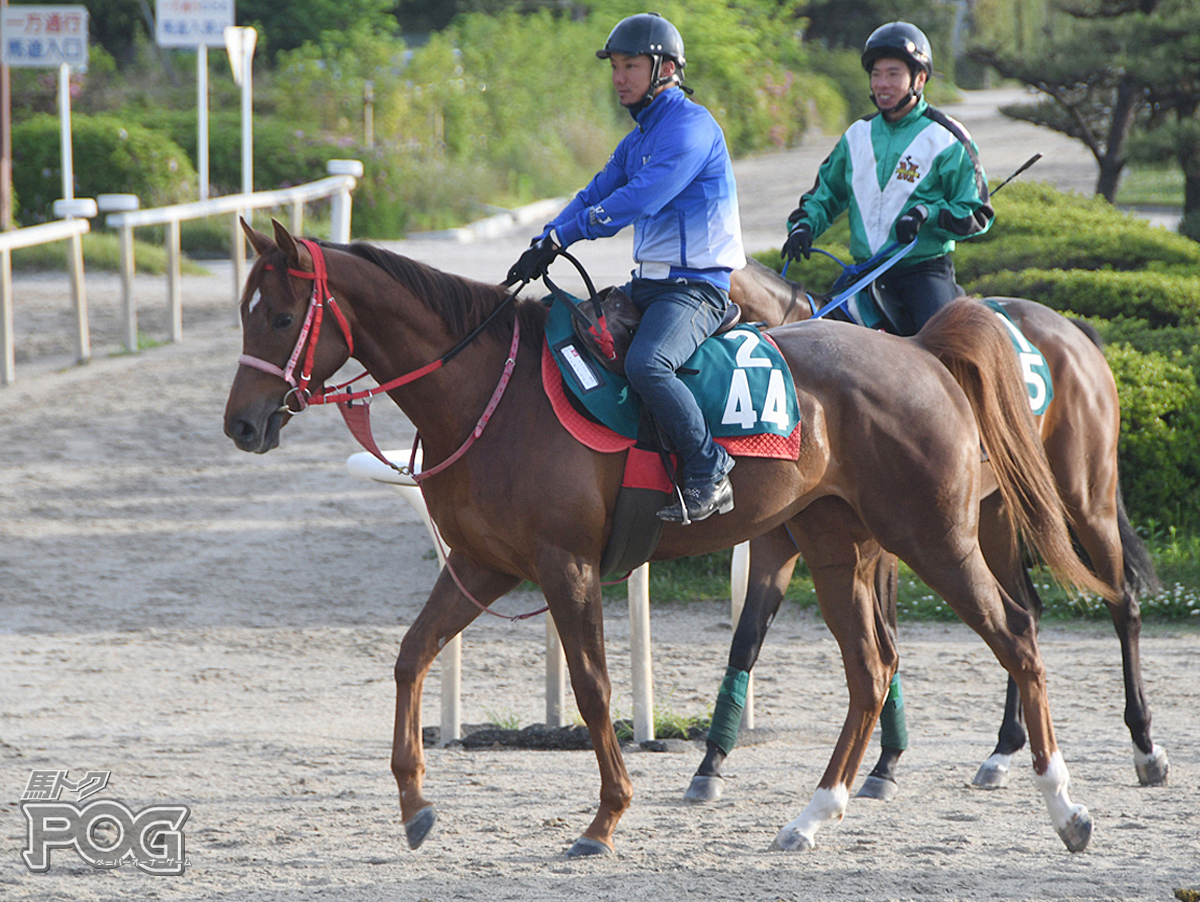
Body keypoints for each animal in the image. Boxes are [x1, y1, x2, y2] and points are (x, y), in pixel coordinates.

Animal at [225, 221, 1104, 854]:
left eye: (281, 316)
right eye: (244, 313)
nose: (241, 425)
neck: (489, 394)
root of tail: (920, 349)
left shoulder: (566, 567)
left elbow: (594, 689)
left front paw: (605, 818)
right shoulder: (482, 564)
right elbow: (412, 656)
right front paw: (414, 801)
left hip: (937, 537)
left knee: (1017, 635)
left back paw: (1063, 805)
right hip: (837, 548)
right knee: (871, 669)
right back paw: (813, 813)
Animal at [700, 259, 1166, 796]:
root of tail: (1073, 328)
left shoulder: (881, 547)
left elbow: (887, 639)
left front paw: (886, 762)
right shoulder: (775, 540)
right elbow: (747, 638)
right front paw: (710, 761)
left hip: (1084, 496)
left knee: (1122, 604)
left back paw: (1145, 746)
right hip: (994, 514)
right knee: (1024, 610)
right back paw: (1004, 749)